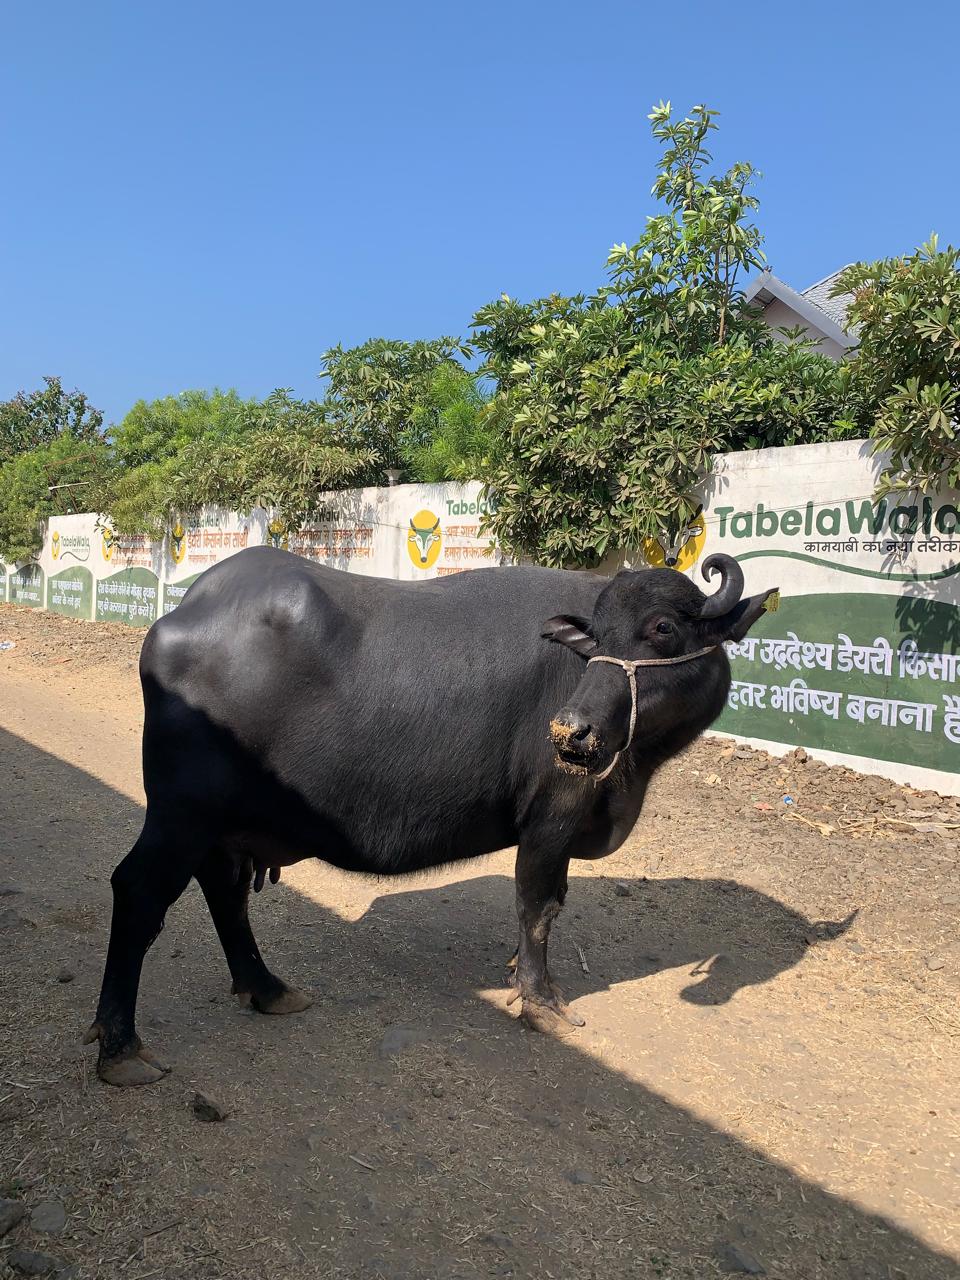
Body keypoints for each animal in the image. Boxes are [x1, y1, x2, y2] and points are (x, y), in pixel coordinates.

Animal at [85, 547, 776, 1085]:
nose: (571, 733)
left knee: (224, 892)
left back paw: (268, 988)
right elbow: (539, 905)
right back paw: (121, 1047)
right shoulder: (554, 812)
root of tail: (174, 620)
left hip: (219, 825)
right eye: (598, 639)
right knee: (139, 891)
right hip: (180, 815)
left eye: (662, 627)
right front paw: (540, 999)